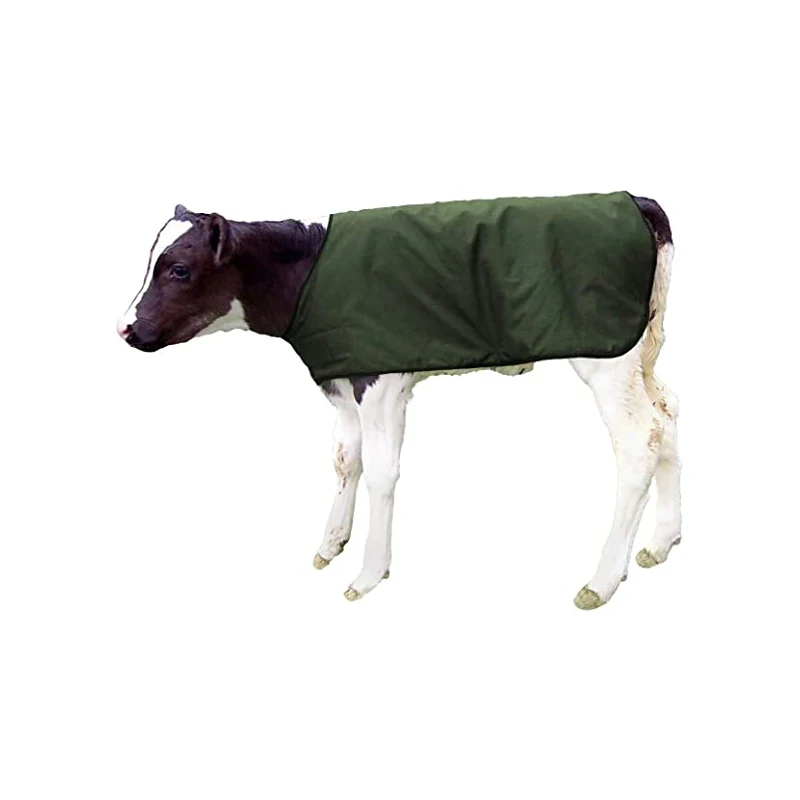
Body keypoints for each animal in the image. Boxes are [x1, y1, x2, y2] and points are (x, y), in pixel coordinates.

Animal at [117, 196, 681, 609]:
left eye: (179, 270)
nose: (124, 328)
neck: (311, 277)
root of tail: (636, 199)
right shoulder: (343, 380)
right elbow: (346, 460)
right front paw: (331, 543)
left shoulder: (381, 382)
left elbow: (383, 472)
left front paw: (369, 573)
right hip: (645, 352)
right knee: (668, 415)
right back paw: (661, 542)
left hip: (608, 358)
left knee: (639, 441)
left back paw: (602, 580)